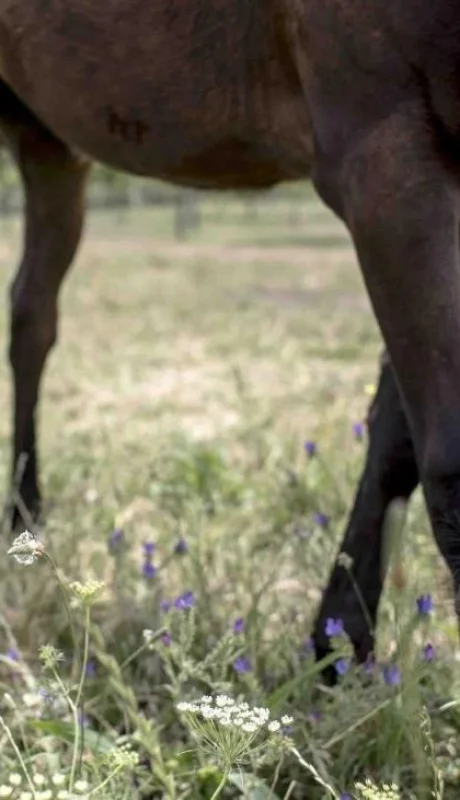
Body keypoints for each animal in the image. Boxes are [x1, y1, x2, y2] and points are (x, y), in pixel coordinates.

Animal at [1, 0, 459, 665]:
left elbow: (397, 439)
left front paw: (337, 644)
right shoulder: (389, 156)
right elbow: (447, 461)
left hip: (50, 147)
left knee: (32, 317)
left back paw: (24, 518)